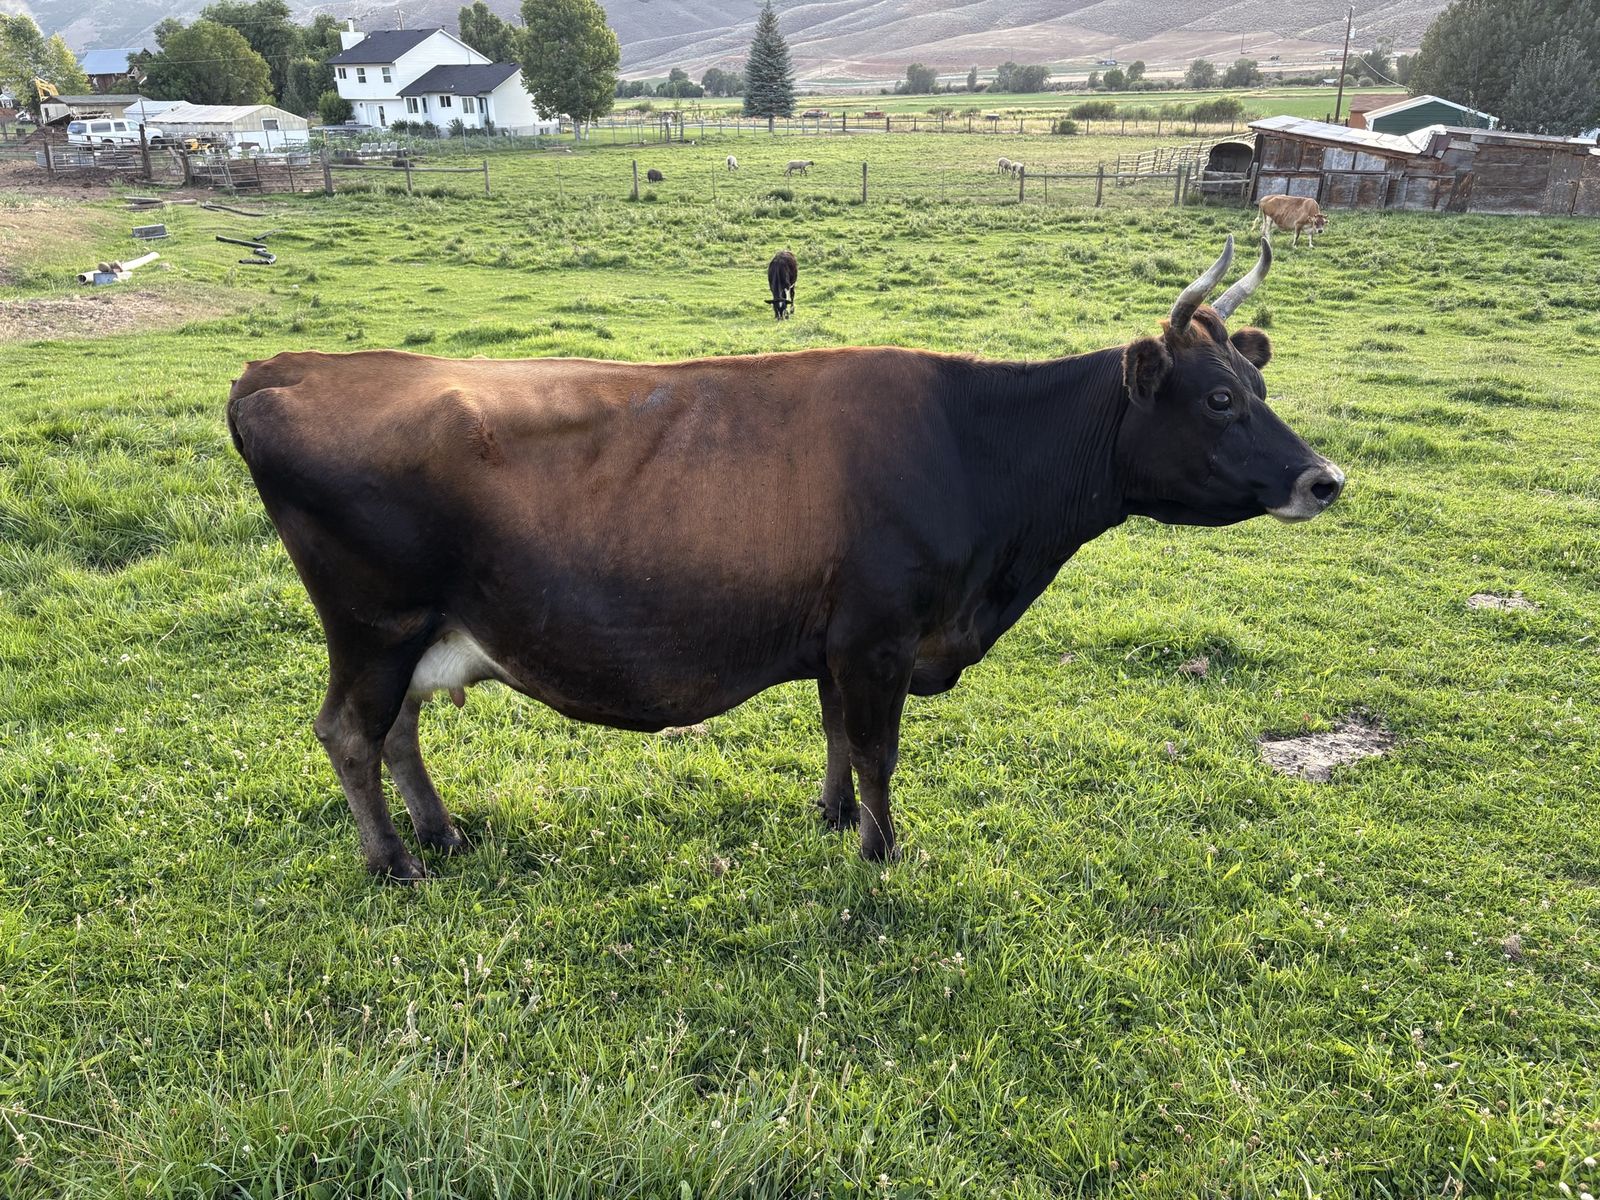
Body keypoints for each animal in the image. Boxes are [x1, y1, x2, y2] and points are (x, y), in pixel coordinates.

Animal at [228, 236, 1343, 881]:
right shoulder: (882, 636)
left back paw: (443, 833)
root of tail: (283, 367)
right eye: (1218, 398)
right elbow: (881, 749)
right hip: (373, 623)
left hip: (421, 632)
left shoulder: (839, 638)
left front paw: (832, 817)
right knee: (349, 733)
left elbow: (838, 734)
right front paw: (881, 855)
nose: (1323, 479)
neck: (971, 449)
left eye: (1256, 380)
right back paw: (394, 863)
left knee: (400, 730)